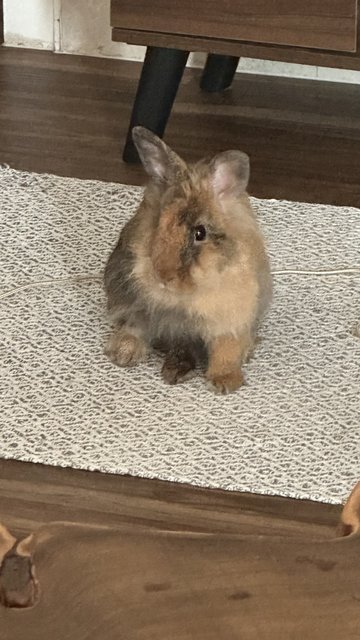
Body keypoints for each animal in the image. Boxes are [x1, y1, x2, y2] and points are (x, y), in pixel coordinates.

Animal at [102, 127, 272, 392]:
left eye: (199, 233)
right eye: (157, 222)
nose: (163, 276)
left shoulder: (233, 318)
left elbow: (227, 348)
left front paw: (225, 382)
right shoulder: (140, 305)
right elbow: (137, 325)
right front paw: (123, 354)